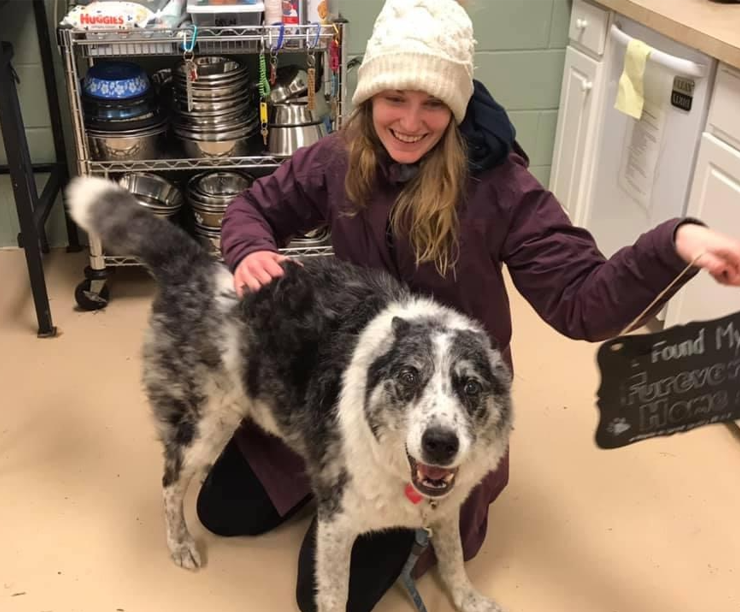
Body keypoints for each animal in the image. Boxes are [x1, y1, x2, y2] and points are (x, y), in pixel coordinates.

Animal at [68, 177, 516, 612]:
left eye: (470, 386)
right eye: (409, 377)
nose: (440, 443)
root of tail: (197, 267)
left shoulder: (446, 509)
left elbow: (453, 559)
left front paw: (469, 599)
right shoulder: (337, 522)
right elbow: (335, 596)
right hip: (203, 425)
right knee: (170, 482)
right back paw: (179, 542)